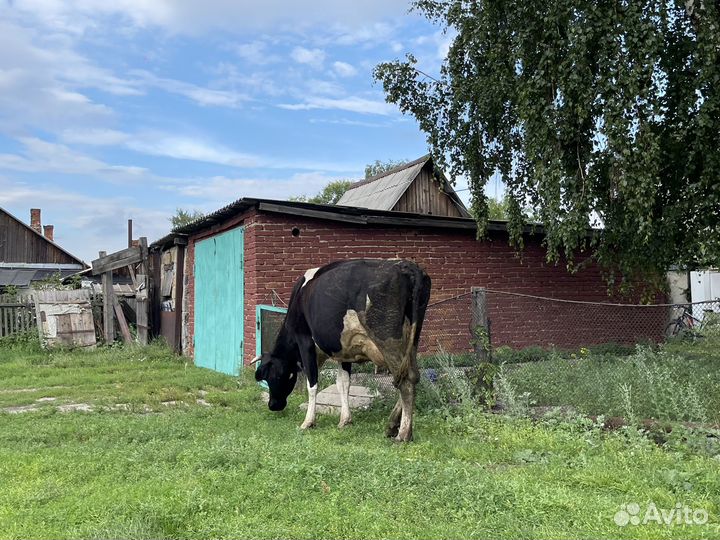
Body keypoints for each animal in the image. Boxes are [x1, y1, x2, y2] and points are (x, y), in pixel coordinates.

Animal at [254, 259, 431, 442]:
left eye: (274, 376)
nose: (273, 405)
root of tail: (405, 265)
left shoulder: (305, 343)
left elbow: (313, 384)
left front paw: (308, 422)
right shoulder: (344, 352)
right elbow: (343, 384)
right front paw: (345, 420)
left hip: (387, 337)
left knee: (405, 379)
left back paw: (403, 434)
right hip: (412, 338)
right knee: (411, 375)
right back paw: (392, 426)